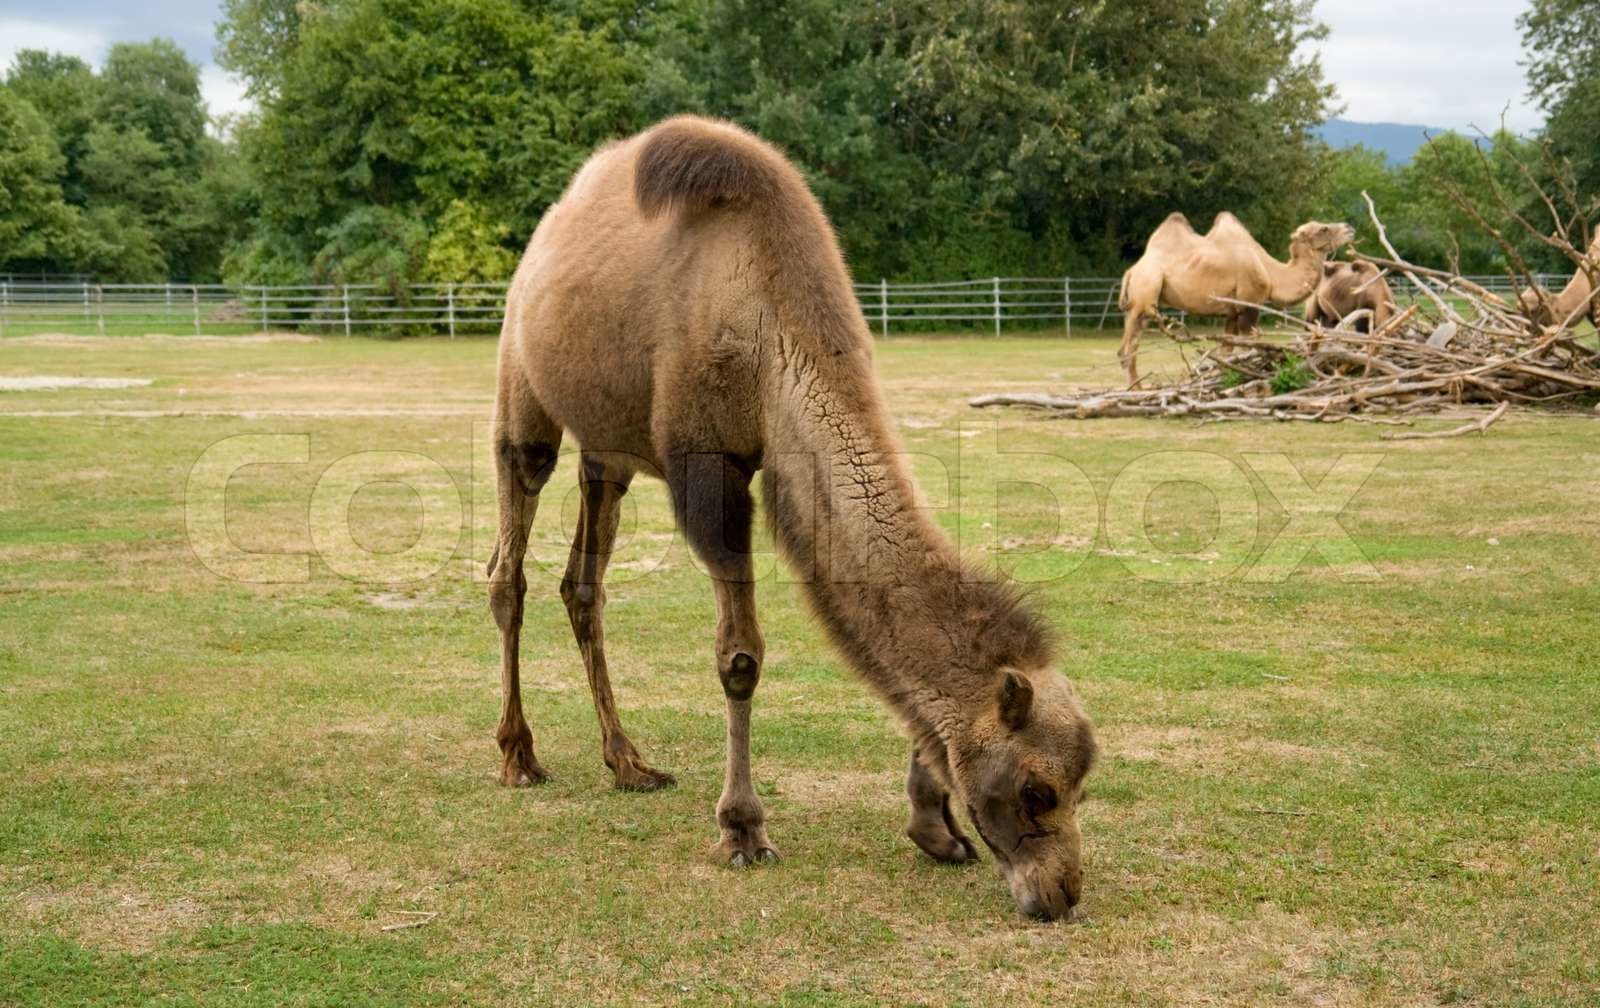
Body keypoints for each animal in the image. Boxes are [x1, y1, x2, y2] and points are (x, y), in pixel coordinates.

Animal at [486, 116, 1097, 921]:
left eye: (1081, 784)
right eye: (1036, 790)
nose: (1061, 893)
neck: (771, 328)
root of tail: (544, 235)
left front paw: (934, 829)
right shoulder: (708, 466)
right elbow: (740, 657)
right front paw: (743, 829)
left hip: (608, 450)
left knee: (581, 586)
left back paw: (629, 763)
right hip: (521, 388)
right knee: (509, 567)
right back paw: (518, 755)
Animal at [1118, 212, 1355, 383]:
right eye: (1323, 228)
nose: (1350, 228)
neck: (1270, 272)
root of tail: (1131, 271)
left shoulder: (1232, 312)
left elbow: (1228, 352)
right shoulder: (1249, 305)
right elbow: (1249, 348)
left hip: (1140, 302)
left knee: (1129, 345)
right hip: (1145, 291)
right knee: (1128, 348)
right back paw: (1136, 390)